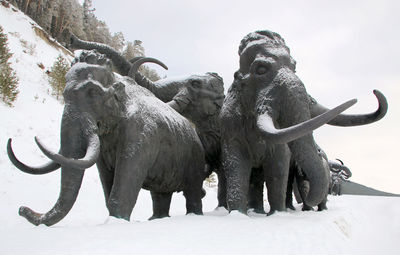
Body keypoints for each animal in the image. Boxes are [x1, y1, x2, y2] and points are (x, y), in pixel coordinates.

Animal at [7, 51, 205, 225]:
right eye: (64, 94)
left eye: (93, 92)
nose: (21, 209)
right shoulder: (103, 149)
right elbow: (107, 188)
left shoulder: (141, 135)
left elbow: (121, 193)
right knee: (160, 195)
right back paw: (156, 219)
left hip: (194, 164)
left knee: (192, 194)